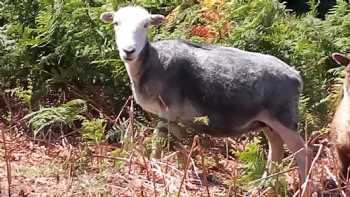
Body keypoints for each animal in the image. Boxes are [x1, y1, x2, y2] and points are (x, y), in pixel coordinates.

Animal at [100, 5, 314, 182]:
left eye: (146, 24)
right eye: (116, 23)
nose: (129, 50)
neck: (153, 62)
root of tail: (295, 75)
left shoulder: (169, 110)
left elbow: (158, 142)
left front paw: (155, 167)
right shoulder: (173, 117)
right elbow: (179, 146)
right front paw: (183, 168)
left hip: (284, 117)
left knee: (303, 152)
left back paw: (303, 186)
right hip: (267, 121)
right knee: (276, 149)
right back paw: (265, 184)